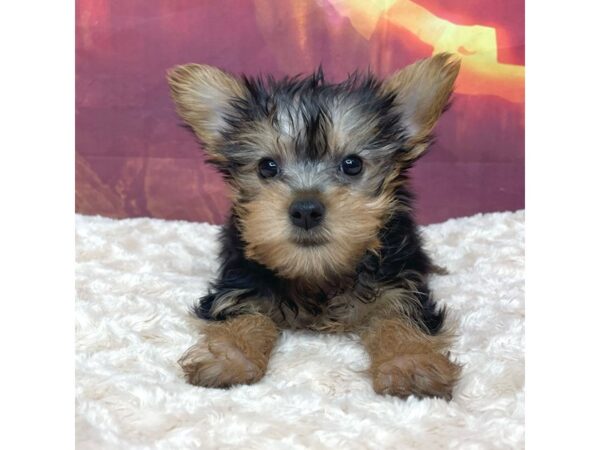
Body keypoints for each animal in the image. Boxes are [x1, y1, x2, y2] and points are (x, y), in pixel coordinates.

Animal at [166, 53, 462, 400]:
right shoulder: (240, 283)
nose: (306, 210)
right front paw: (230, 357)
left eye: (352, 164)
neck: (317, 272)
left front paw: (410, 364)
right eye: (267, 167)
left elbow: (401, 320)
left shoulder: (400, 286)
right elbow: (241, 315)